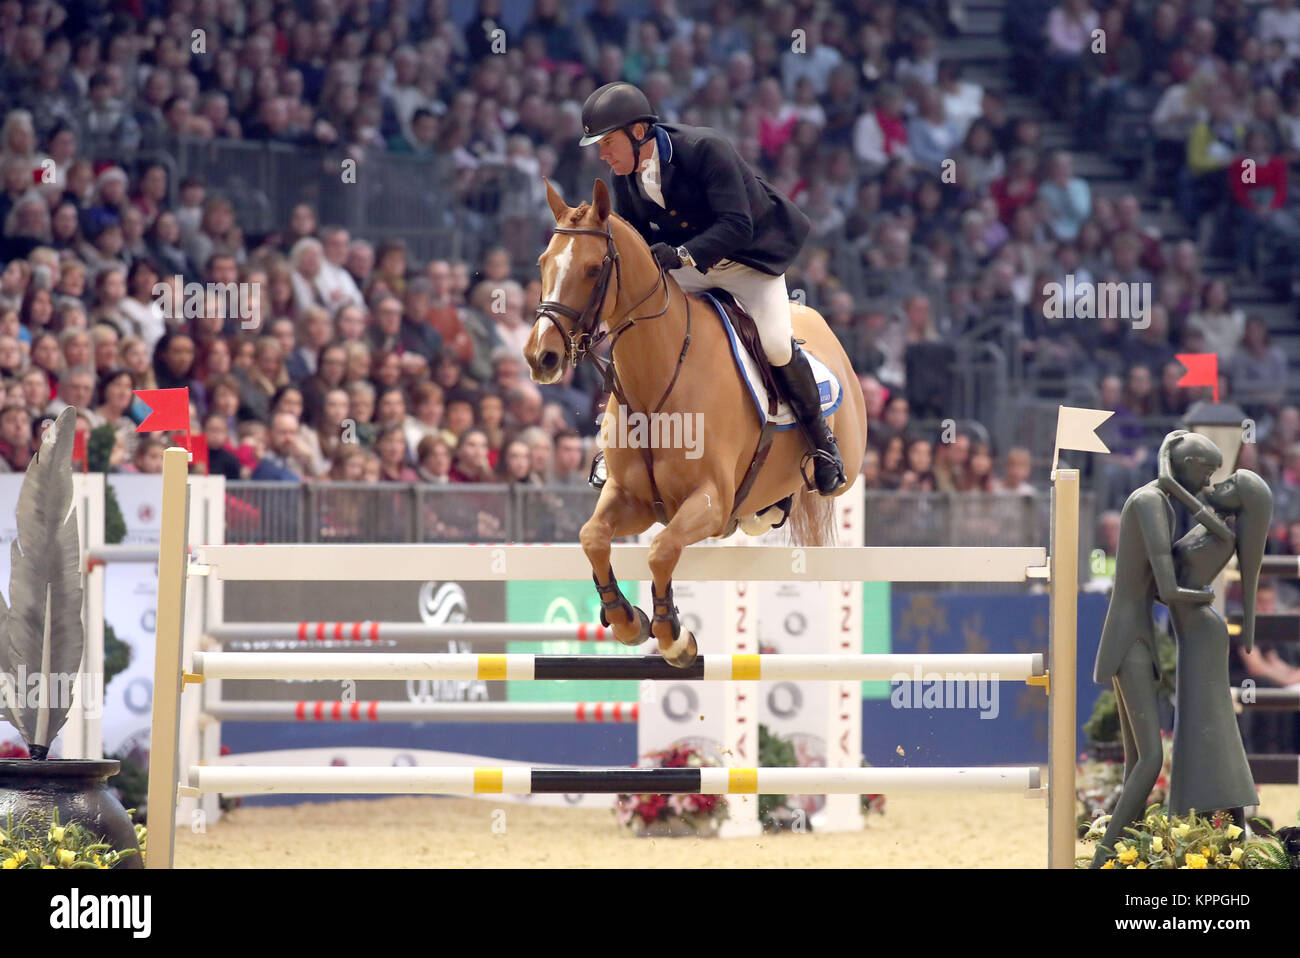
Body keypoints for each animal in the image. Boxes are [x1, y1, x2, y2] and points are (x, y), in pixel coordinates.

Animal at [522, 180, 868, 670]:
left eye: (592, 270)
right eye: (543, 264)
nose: (542, 357)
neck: (656, 382)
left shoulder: (710, 501)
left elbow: (663, 549)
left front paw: (673, 635)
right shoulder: (633, 499)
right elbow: (593, 537)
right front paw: (626, 619)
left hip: (844, 463)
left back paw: (821, 467)